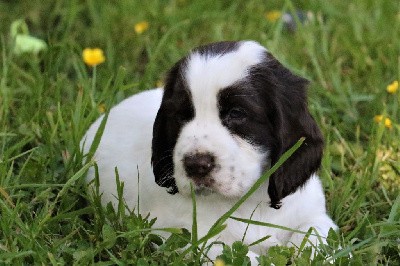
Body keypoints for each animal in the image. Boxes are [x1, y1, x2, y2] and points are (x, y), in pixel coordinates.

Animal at [82, 40, 338, 262]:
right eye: (182, 115)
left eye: (237, 113)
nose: (195, 165)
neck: (249, 200)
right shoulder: (185, 233)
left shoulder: (313, 214)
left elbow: (316, 235)